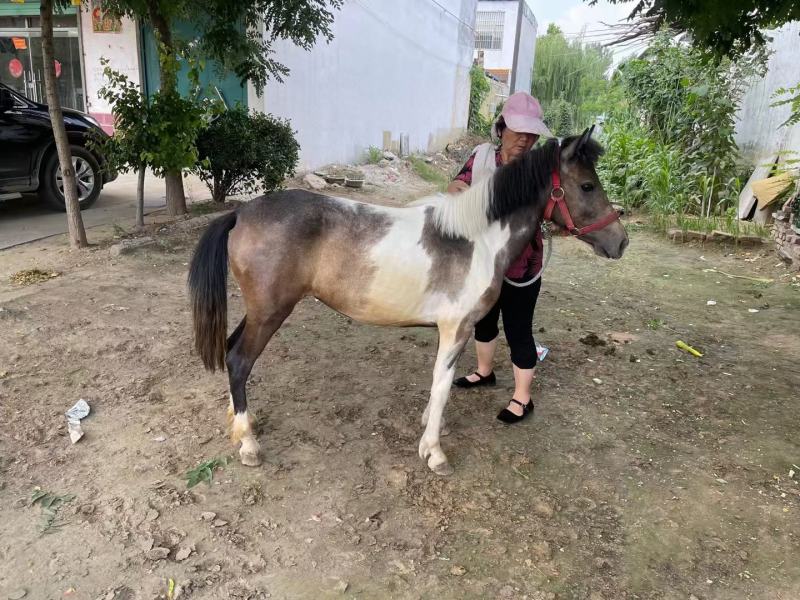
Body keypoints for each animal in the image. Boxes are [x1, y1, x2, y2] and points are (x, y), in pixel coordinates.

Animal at [188, 127, 628, 475]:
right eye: (587, 186)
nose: (621, 242)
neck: (475, 239)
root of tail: (241, 213)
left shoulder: (453, 331)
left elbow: (440, 383)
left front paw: (431, 426)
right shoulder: (456, 328)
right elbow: (442, 384)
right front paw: (434, 452)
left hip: (259, 311)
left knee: (231, 352)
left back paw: (242, 424)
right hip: (270, 312)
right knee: (239, 361)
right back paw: (249, 444)